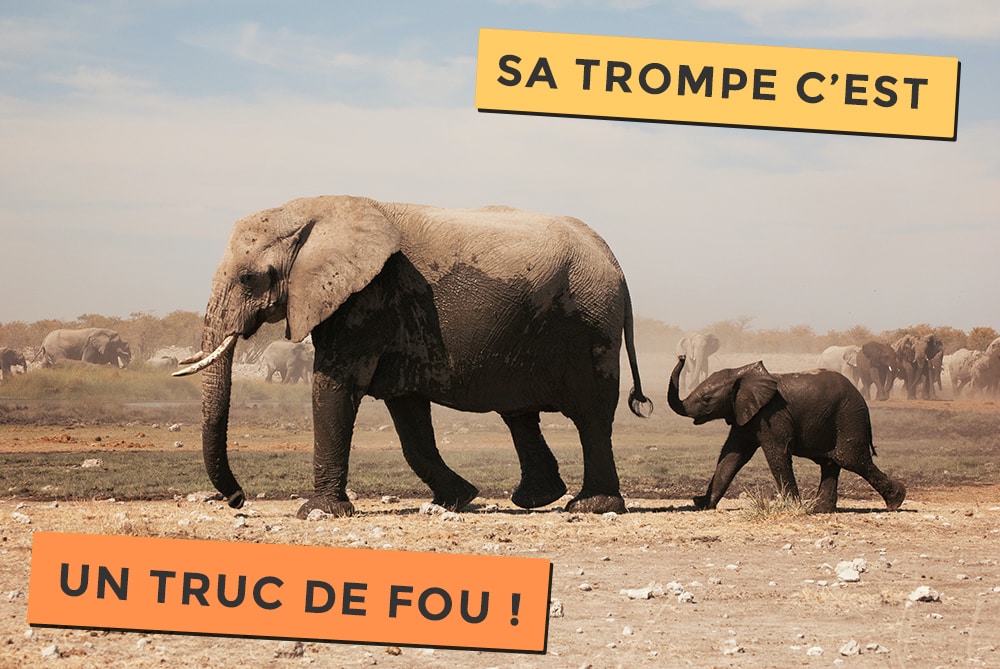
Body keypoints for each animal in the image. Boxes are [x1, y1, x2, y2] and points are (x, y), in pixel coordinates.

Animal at [174, 195, 652, 518]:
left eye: (248, 278)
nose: (238, 500)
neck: (314, 210)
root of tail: (614, 260)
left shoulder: (368, 298)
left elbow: (333, 386)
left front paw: (318, 513)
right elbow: (408, 418)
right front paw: (458, 499)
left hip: (589, 324)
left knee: (591, 415)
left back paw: (590, 506)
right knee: (519, 412)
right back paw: (536, 499)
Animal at [667, 356, 906, 513]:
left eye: (706, 399)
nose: (682, 356)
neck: (741, 373)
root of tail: (861, 397)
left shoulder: (772, 415)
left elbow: (777, 455)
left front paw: (793, 507)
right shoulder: (745, 416)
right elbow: (732, 457)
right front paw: (703, 504)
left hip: (849, 417)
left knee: (852, 460)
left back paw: (896, 501)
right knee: (831, 463)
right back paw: (819, 509)